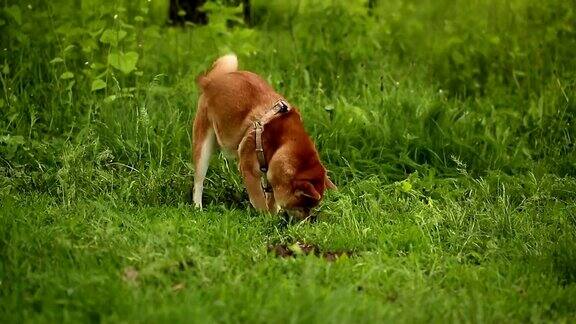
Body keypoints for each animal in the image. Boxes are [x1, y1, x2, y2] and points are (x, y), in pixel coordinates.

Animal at [192, 54, 332, 219]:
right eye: (304, 206)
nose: (309, 220)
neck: (281, 143)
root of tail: (210, 81)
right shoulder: (249, 171)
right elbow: (259, 200)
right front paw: (266, 219)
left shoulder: (271, 176)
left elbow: (271, 199)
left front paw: (274, 214)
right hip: (203, 144)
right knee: (198, 180)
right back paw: (197, 207)